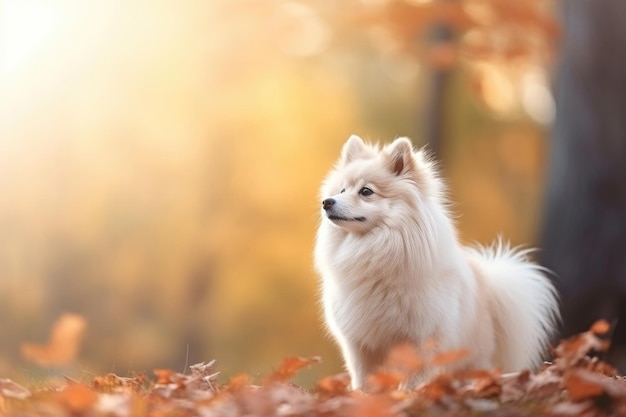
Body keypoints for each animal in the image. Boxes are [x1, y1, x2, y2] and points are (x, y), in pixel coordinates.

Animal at [314, 135, 560, 388]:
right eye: (342, 190)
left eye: (366, 191)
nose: (327, 202)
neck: (375, 253)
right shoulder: (360, 343)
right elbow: (365, 380)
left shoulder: (423, 338)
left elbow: (414, 379)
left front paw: (407, 394)